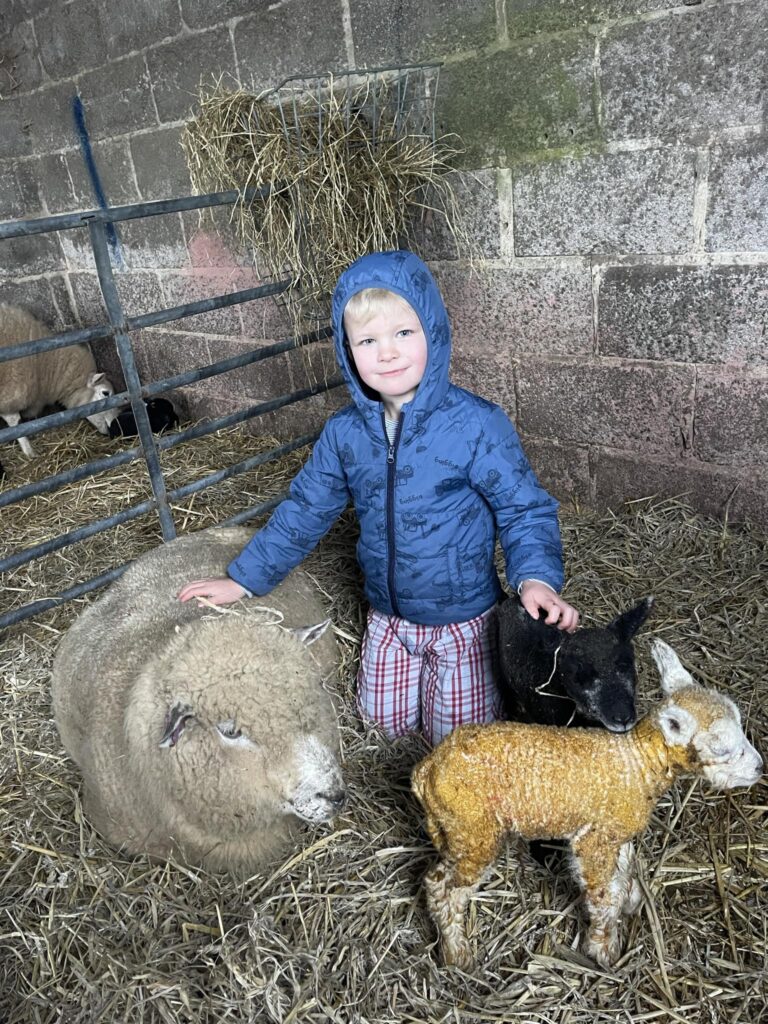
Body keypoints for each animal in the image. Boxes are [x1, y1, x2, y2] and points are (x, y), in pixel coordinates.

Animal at [411, 638, 761, 966]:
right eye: (722, 749)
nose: (759, 767)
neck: (637, 764)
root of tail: (426, 770)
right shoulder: (594, 842)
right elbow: (603, 897)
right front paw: (603, 949)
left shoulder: (614, 831)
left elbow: (623, 873)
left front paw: (631, 900)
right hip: (476, 833)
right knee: (443, 887)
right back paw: (457, 953)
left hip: (455, 831)